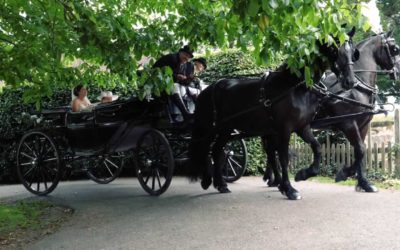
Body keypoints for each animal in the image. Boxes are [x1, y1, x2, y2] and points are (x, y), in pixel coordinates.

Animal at [189, 30, 358, 199]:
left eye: (353, 52)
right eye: (334, 50)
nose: (350, 82)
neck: (294, 86)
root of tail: (209, 88)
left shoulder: (302, 127)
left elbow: (317, 148)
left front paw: (303, 174)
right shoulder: (284, 129)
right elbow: (283, 158)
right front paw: (289, 189)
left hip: (226, 129)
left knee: (217, 151)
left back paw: (221, 184)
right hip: (215, 128)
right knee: (208, 149)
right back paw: (208, 180)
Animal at [262, 30, 400, 192]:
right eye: (395, 49)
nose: (398, 71)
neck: (356, 87)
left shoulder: (363, 125)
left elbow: (361, 152)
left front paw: (363, 182)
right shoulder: (348, 123)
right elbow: (360, 150)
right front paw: (345, 174)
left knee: (271, 151)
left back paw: (274, 179)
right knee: (272, 152)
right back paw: (276, 180)